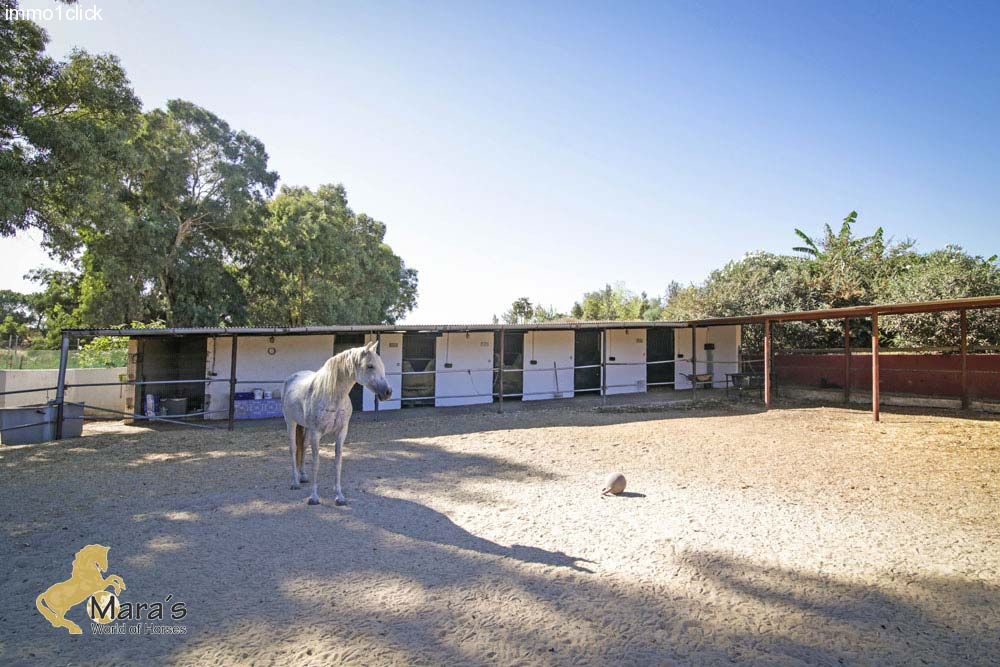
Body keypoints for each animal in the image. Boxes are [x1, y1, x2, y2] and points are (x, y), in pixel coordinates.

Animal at [284, 344, 392, 506]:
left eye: (382, 365)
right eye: (370, 366)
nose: (388, 392)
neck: (332, 395)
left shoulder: (341, 433)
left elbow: (337, 462)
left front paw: (339, 496)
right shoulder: (316, 433)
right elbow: (316, 463)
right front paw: (314, 497)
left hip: (306, 429)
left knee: (303, 446)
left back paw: (302, 476)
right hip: (291, 423)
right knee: (293, 449)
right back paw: (295, 482)